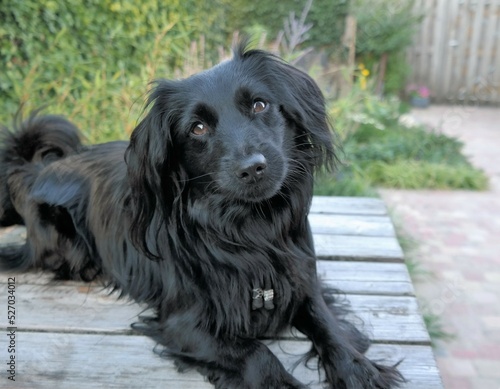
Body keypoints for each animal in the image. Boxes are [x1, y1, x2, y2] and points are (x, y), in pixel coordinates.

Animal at [0, 46, 402, 388]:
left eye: (260, 104)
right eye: (198, 128)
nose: (253, 168)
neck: (250, 227)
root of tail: (35, 170)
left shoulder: (301, 279)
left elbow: (328, 325)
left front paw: (359, 371)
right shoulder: (184, 324)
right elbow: (256, 352)